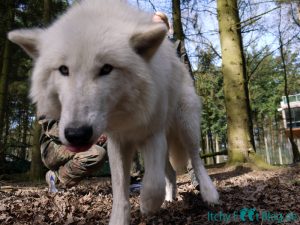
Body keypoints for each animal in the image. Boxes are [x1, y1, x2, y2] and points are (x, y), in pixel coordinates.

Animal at [7, 0, 218, 223]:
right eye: (64, 70)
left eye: (106, 68)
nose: (77, 134)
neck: (126, 115)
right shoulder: (117, 141)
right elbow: (120, 190)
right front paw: (121, 218)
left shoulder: (152, 133)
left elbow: (153, 184)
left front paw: (147, 205)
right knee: (170, 172)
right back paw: (170, 199)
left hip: (186, 127)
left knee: (195, 160)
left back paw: (209, 194)